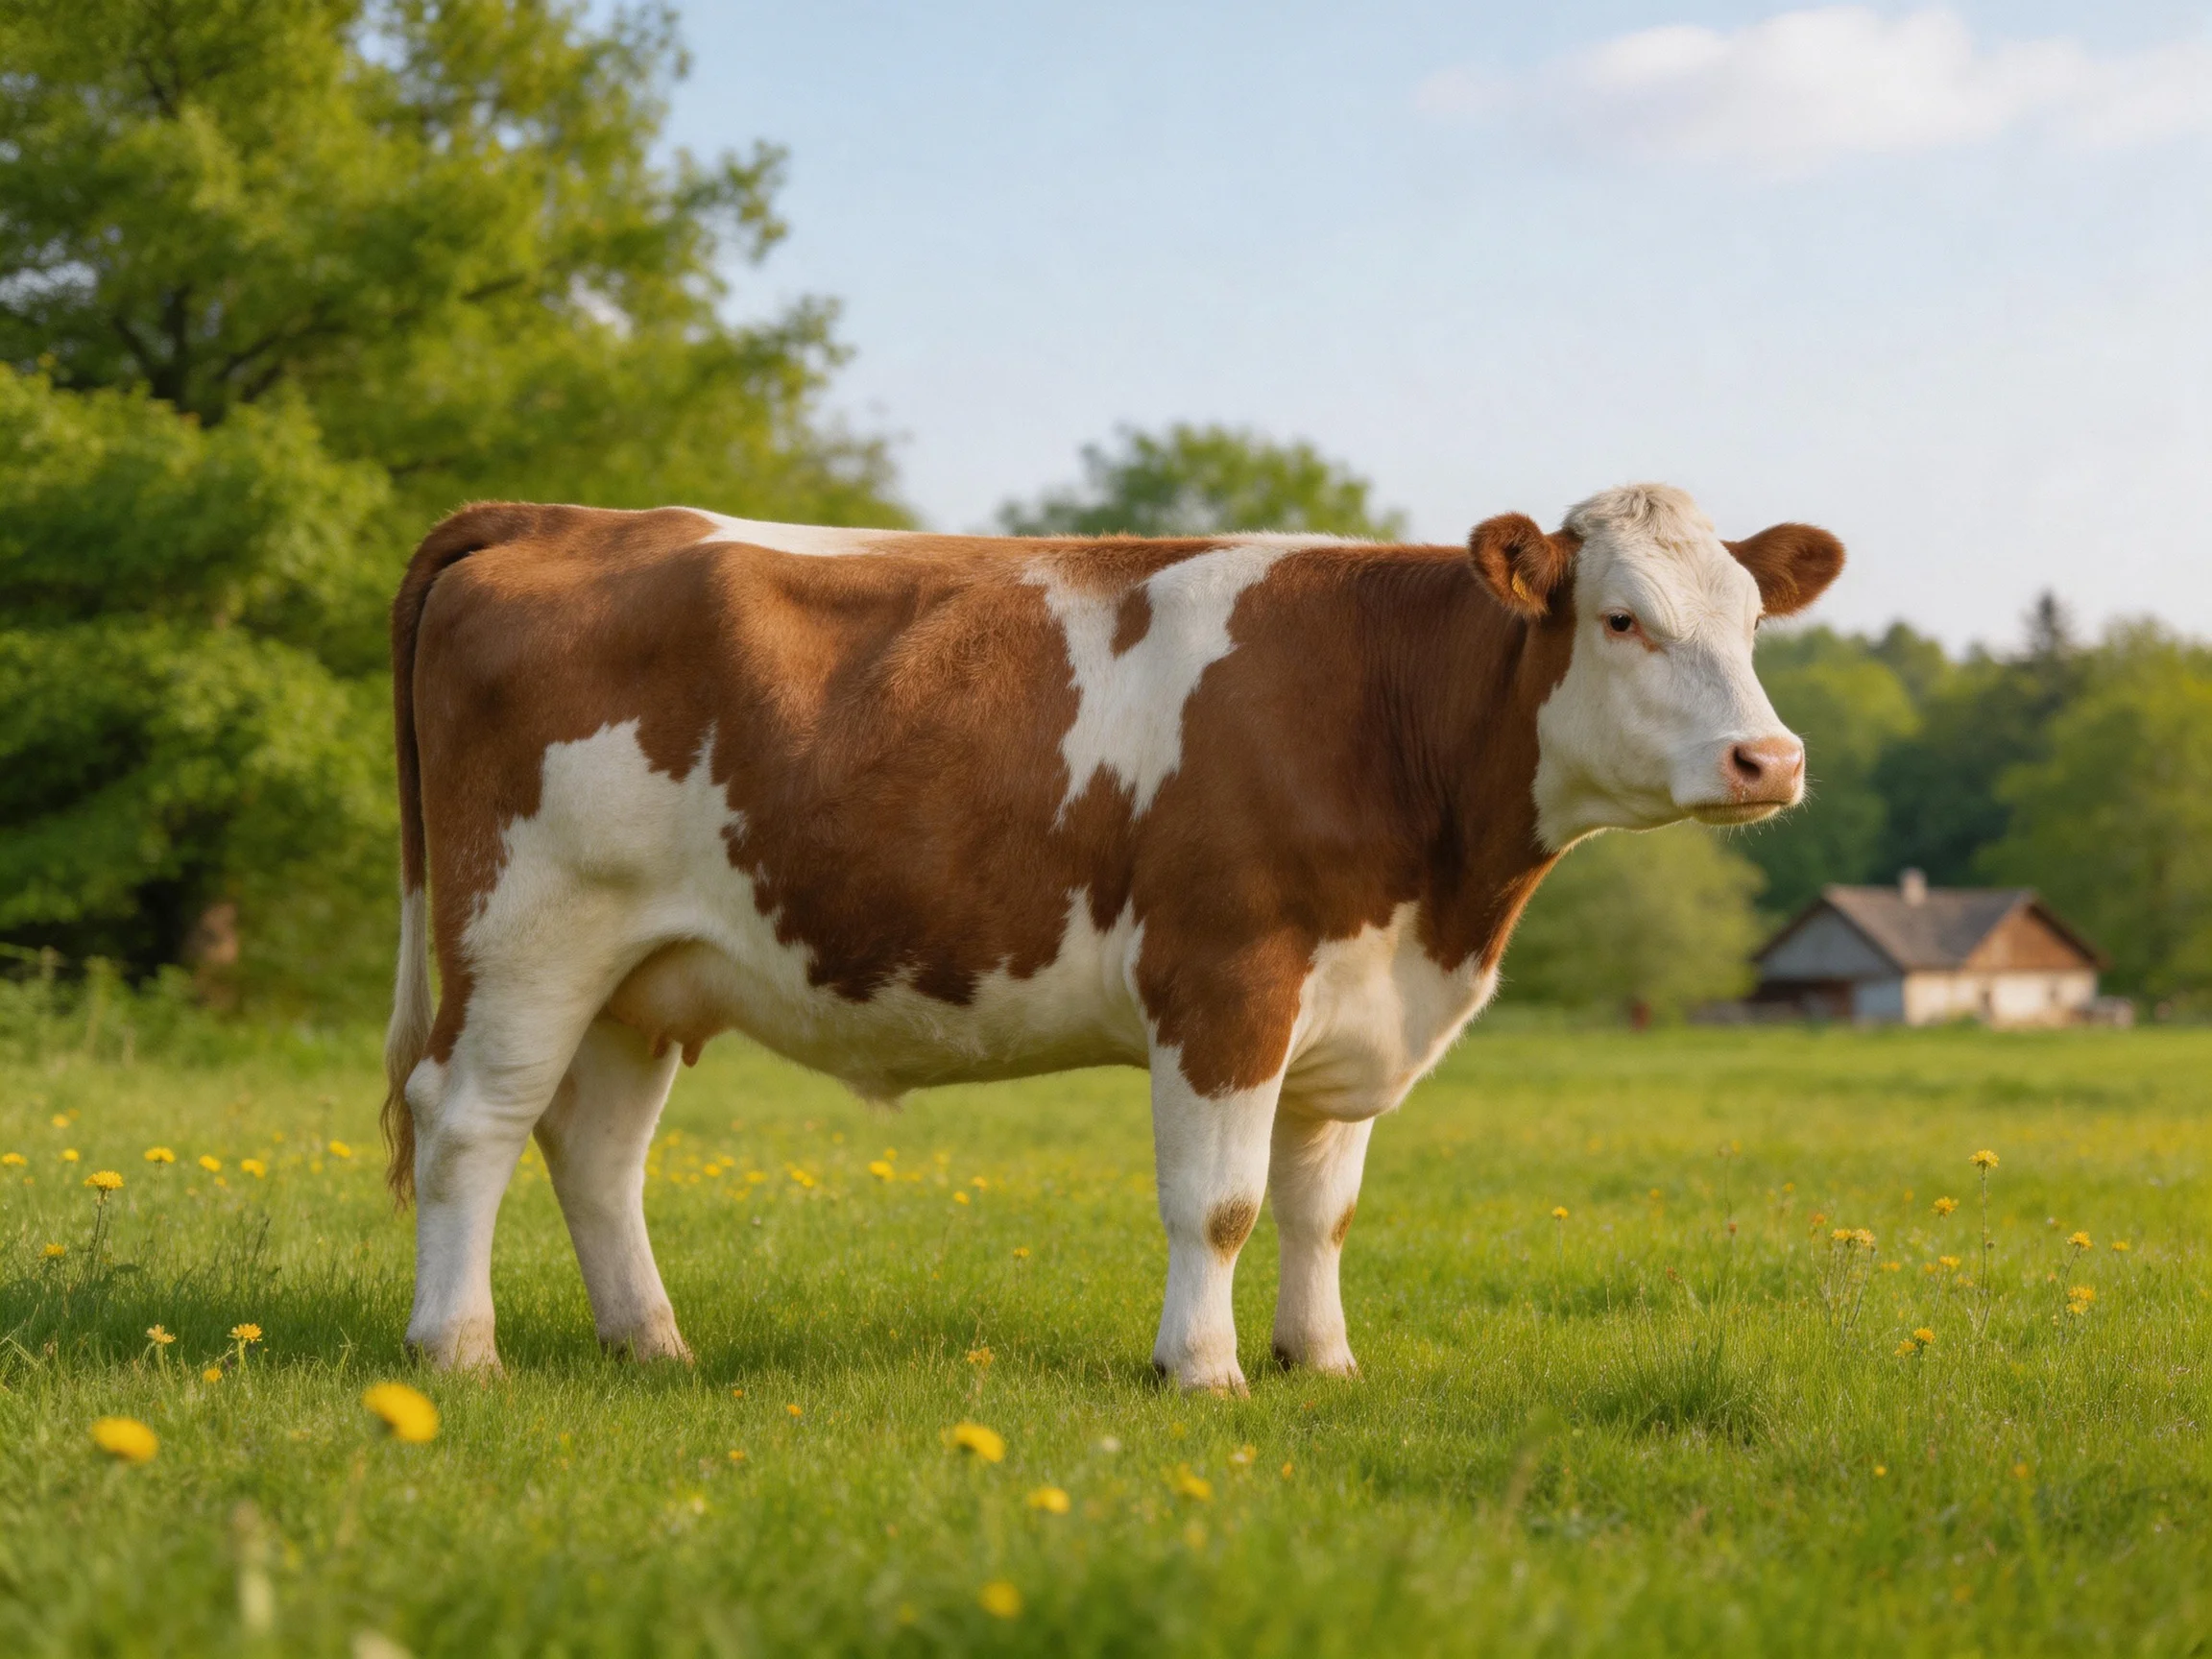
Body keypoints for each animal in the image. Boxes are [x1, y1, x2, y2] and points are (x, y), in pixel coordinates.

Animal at [381, 482, 1841, 1388]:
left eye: (1753, 622)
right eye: (1621, 619)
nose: (1769, 760)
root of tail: (563, 518)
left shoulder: (1350, 1008)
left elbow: (1322, 1210)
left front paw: (1324, 1362)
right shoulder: (1226, 984)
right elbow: (1222, 1204)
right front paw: (1203, 1369)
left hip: (641, 975)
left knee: (595, 1150)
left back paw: (651, 1344)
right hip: (524, 935)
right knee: (470, 1123)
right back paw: (458, 1348)